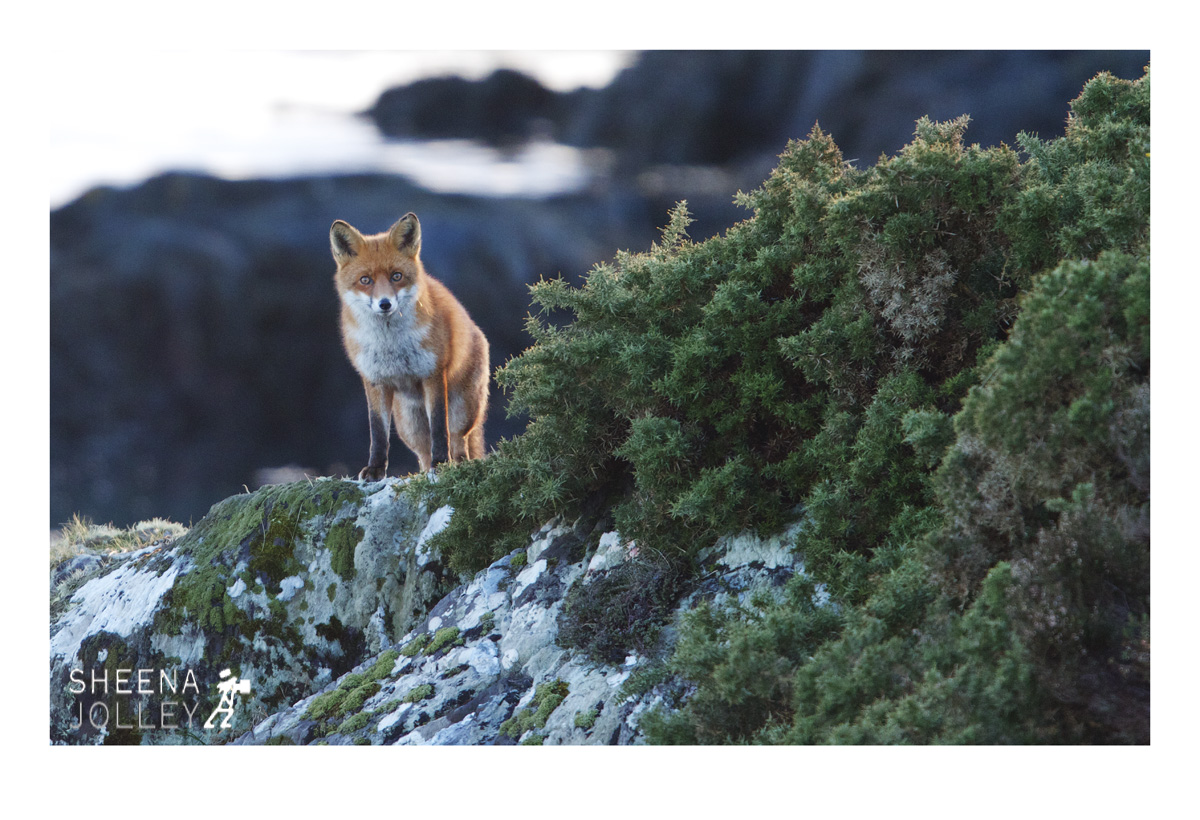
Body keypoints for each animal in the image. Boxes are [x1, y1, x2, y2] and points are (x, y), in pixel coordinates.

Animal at [328, 214, 487, 477]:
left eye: (396, 276)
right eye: (365, 280)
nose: (384, 304)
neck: (391, 345)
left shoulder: (433, 374)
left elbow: (439, 428)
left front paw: (441, 463)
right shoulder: (374, 381)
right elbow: (378, 434)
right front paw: (375, 469)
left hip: (463, 411)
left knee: (458, 440)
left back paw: (457, 465)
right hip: (410, 427)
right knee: (422, 453)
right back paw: (424, 472)